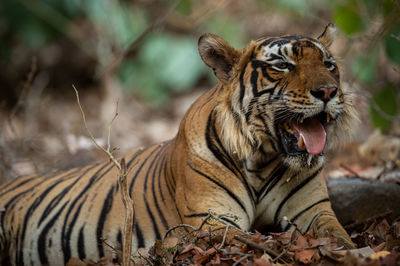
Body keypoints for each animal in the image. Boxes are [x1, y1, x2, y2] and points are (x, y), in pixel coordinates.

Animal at [0, 23, 356, 264]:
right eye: (282, 65)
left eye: (329, 65)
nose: (328, 91)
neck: (263, 161)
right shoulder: (212, 221)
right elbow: (258, 241)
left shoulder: (313, 211)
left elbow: (340, 237)